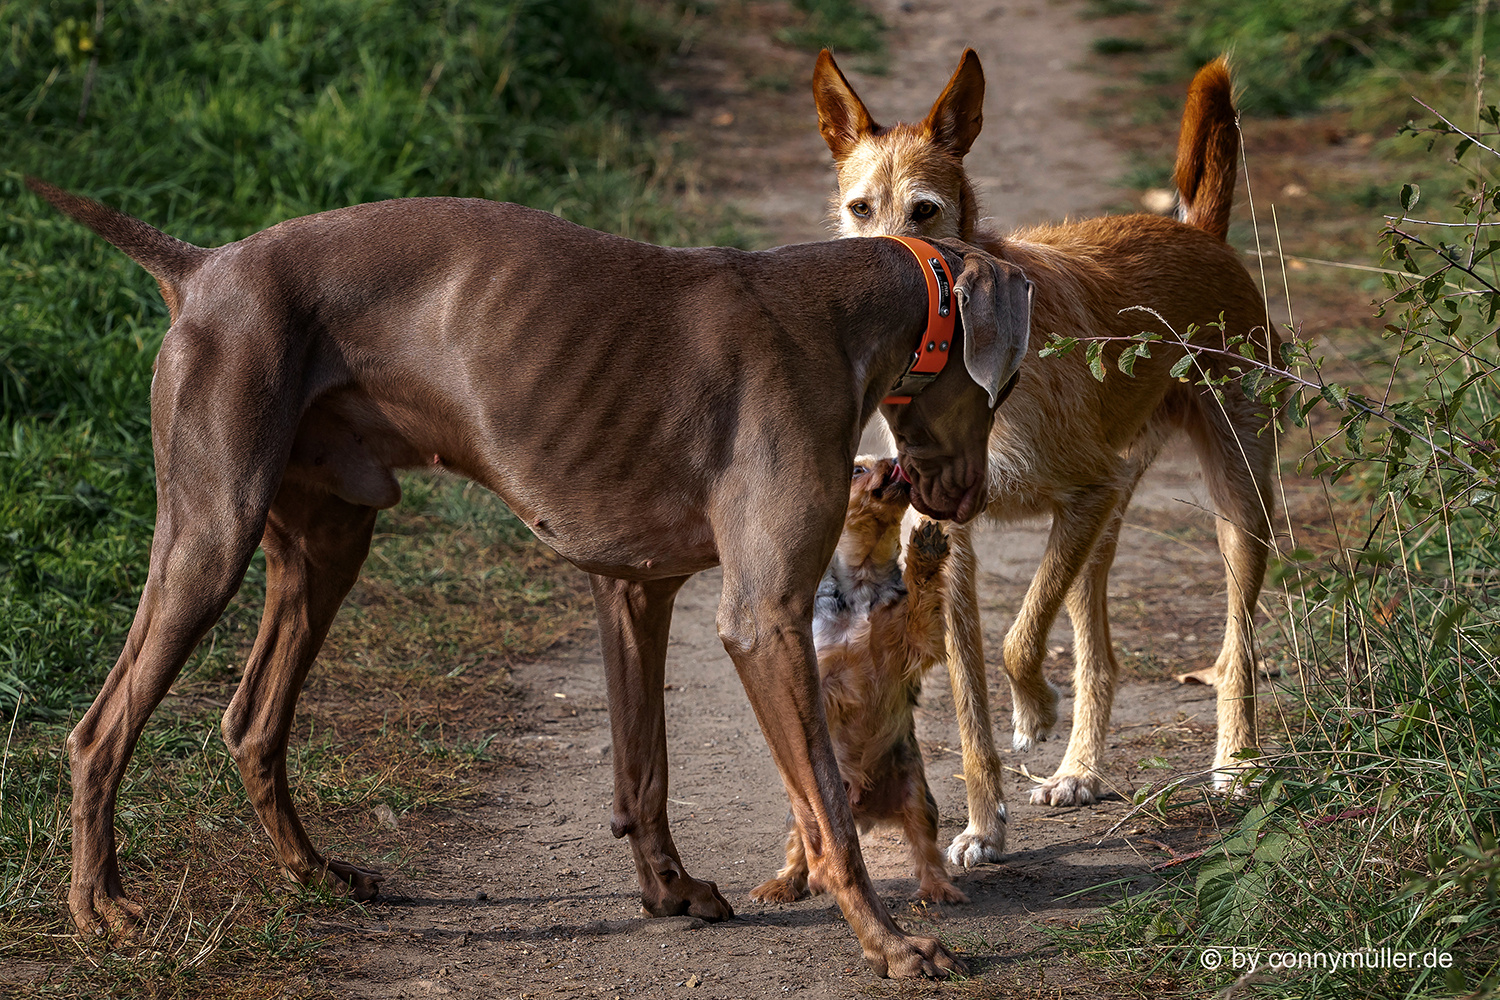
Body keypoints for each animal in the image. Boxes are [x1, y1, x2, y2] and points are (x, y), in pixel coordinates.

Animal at [816, 52, 1272, 869]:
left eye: (925, 211)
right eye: (860, 209)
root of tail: (1200, 233)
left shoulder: (1083, 495)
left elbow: (1017, 640)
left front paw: (1033, 710)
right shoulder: (952, 541)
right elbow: (973, 706)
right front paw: (983, 826)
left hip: (1234, 507)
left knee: (1236, 648)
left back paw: (1236, 764)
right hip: (1106, 523)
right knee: (1100, 655)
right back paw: (1080, 770)